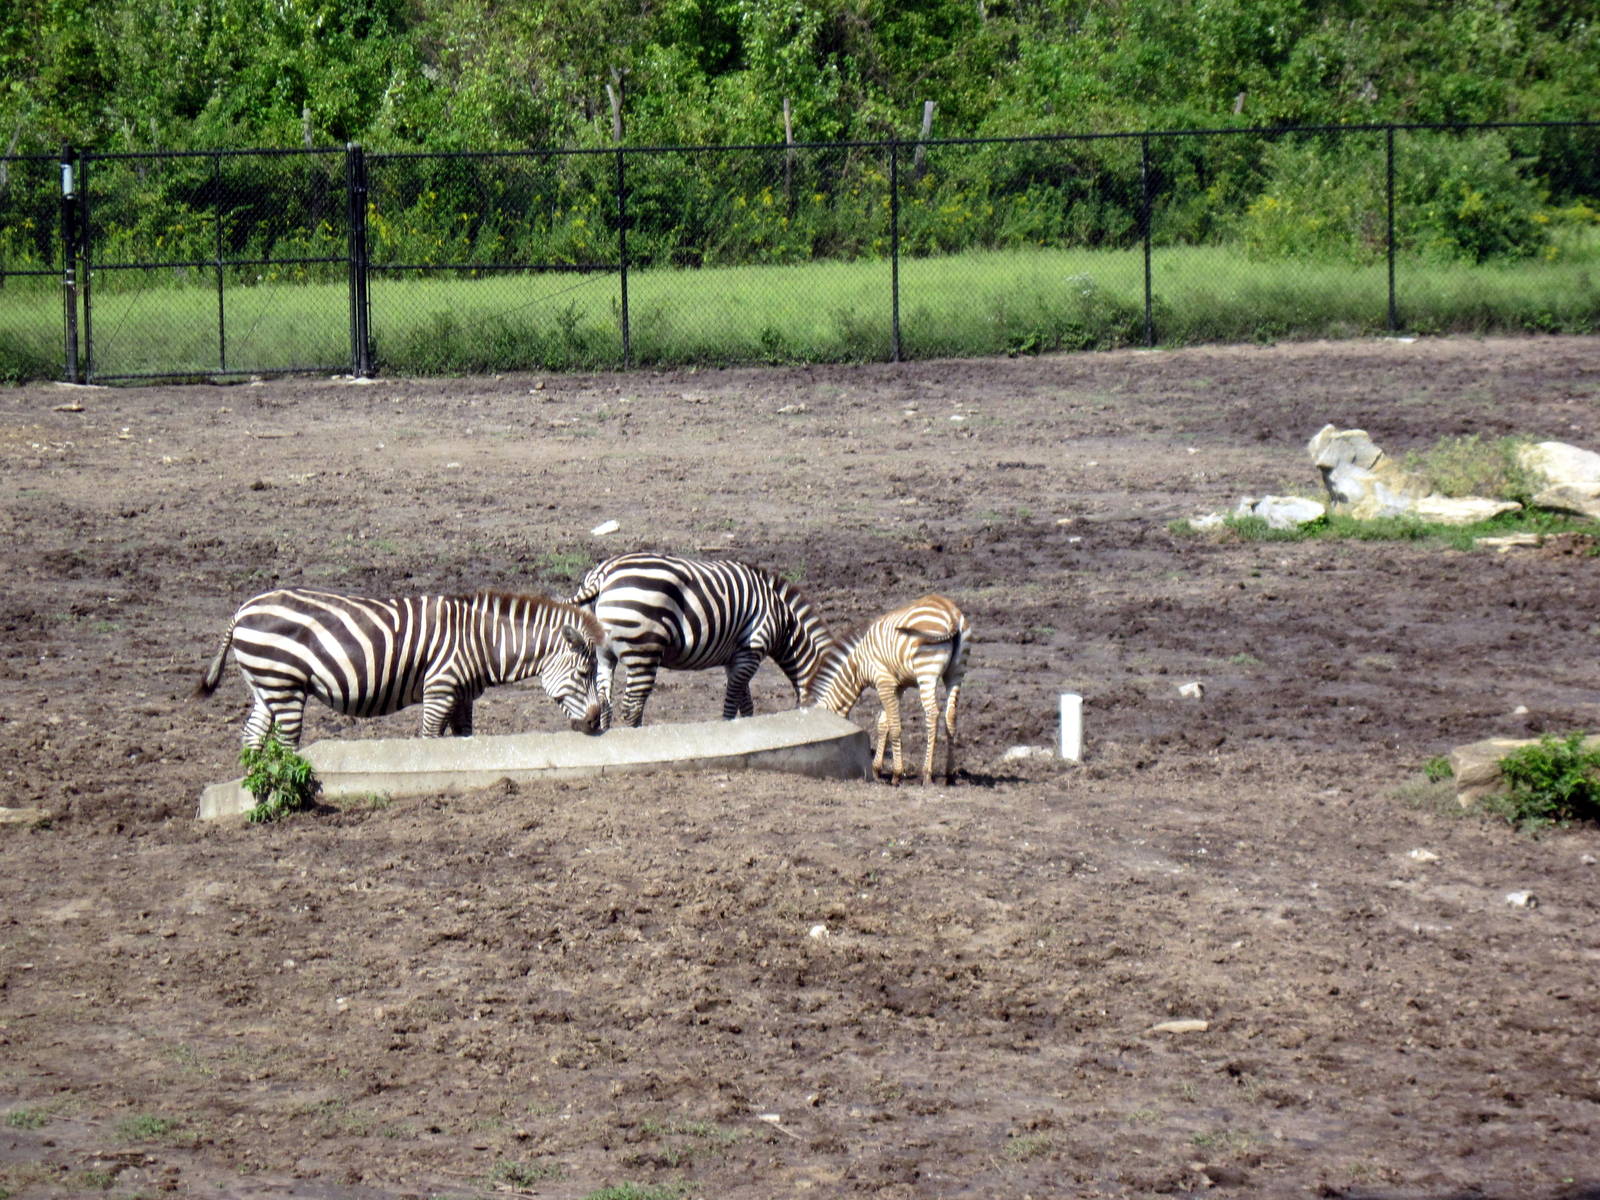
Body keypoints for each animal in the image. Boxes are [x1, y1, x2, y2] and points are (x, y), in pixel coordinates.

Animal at [194, 587, 605, 747]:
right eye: (584, 673)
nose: (595, 723)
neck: (482, 641)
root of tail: (243, 610)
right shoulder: (440, 689)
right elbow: (429, 740)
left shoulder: (462, 697)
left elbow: (463, 738)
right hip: (283, 686)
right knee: (285, 742)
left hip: (267, 685)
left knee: (252, 735)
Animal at [569, 553, 836, 728]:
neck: (782, 620)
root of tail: (603, 574)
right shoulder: (752, 650)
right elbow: (732, 701)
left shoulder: (736, 659)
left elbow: (746, 702)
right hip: (643, 649)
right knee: (632, 706)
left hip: (604, 652)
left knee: (605, 702)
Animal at [808, 593, 970, 785]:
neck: (858, 666)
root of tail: (949, 611)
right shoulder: (897, 686)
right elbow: (883, 723)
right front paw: (877, 769)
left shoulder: (884, 682)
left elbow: (893, 725)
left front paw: (896, 773)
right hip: (956, 672)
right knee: (951, 715)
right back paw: (949, 774)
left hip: (926, 671)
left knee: (932, 713)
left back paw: (927, 774)